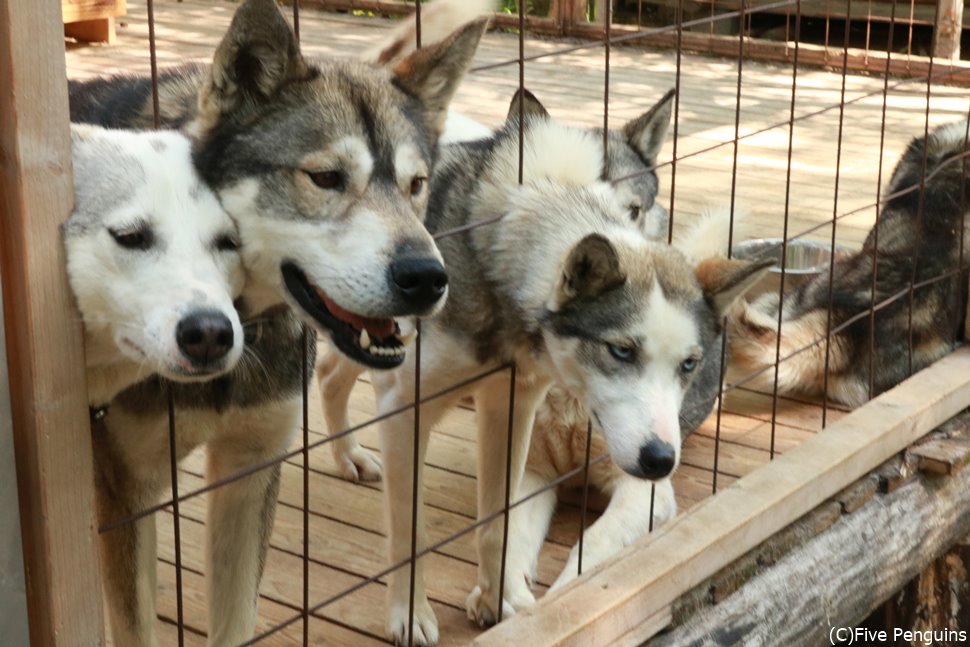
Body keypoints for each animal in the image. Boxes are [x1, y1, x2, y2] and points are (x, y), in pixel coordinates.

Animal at [67, 2, 488, 644]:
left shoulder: (250, 469)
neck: (241, 329)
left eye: (417, 185)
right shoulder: (126, 494)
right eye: (326, 178)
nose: (426, 278)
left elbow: (237, 620)